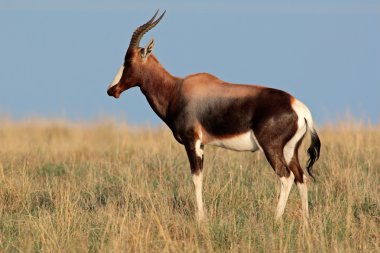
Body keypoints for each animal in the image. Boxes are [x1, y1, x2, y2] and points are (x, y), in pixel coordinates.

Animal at [107, 11, 320, 221]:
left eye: (128, 61)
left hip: (271, 148)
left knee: (286, 177)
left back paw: (276, 220)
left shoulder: (192, 141)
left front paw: (200, 218)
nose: (111, 90)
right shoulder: (201, 144)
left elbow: (196, 178)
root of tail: (300, 109)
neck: (177, 89)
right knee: (301, 177)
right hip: (290, 150)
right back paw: (305, 221)